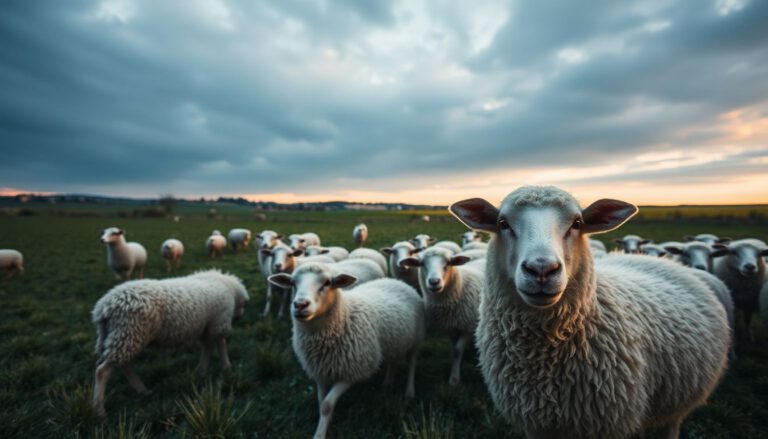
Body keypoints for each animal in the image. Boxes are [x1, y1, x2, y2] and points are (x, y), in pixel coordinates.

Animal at [91, 269, 249, 417]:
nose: (241, 316)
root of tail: (104, 307)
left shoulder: (206, 327)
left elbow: (207, 347)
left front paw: (202, 370)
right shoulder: (219, 322)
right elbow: (221, 344)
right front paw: (226, 366)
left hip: (114, 336)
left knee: (121, 365)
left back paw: (142, 391)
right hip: (129, 332)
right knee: (102, 371)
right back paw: (99, 410)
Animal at [268, 265, 424, 439]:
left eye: (327, 283)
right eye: (293, 283)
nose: (300, 305)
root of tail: (396, 281)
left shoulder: (352, 371)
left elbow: (327, 404)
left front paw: (320, 434)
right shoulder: (319, 372)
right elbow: (321, 402)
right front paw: (326, 426)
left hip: (416, 339)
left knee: (412, 363)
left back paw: (409, 392)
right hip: (395, 342)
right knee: (393, 360)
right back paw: (388, 384)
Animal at [401, 246, 483, 386]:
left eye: (448, 263)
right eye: (422, 264)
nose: (434, 282)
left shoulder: (469, 326)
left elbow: (457, 350)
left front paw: (454, 379)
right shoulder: (450, 327)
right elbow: (454, 349)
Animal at [450, 186, 730, 438]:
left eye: (577, 223)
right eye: (503, 223)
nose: (541, 269)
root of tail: (659, 260)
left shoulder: (608, 423)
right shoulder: (536, 423)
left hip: (680, 400)